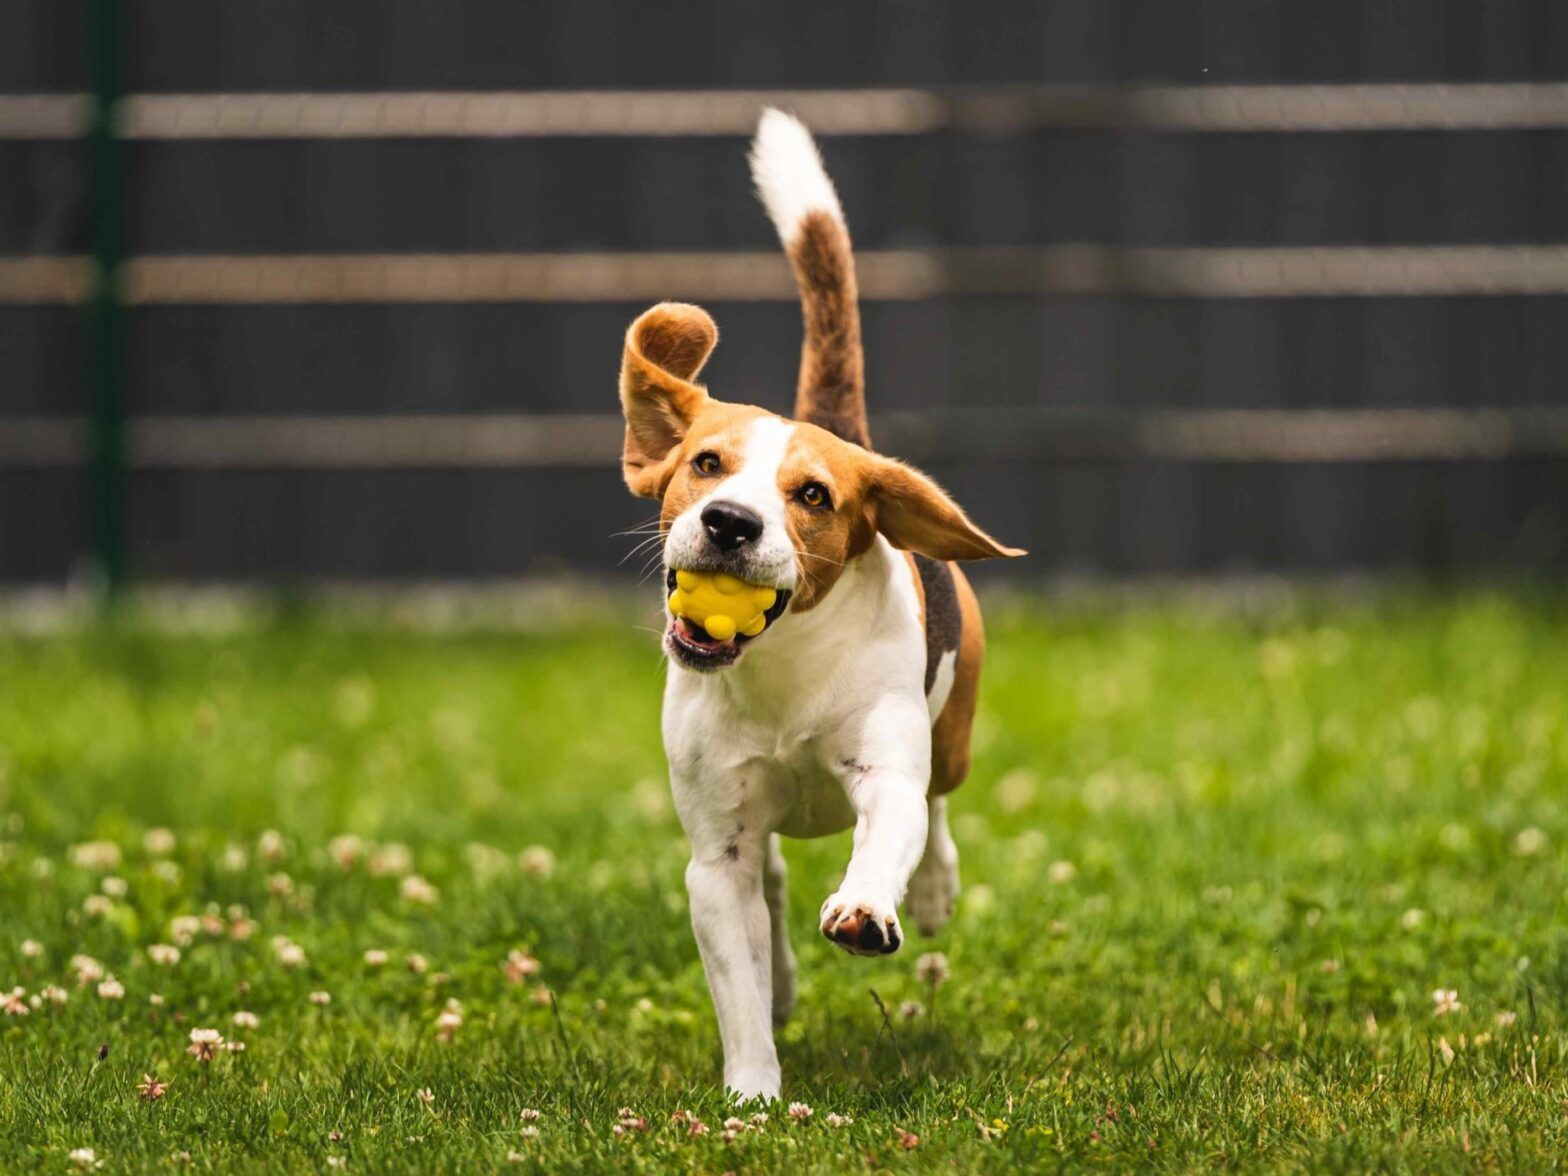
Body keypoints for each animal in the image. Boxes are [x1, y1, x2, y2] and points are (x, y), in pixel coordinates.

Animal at [617, 110, 1022, 1103]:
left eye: (812, 496)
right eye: (706, 464)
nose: (729, 524)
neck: (779, 671)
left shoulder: (885, 774)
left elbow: (889, 832)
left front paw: (872, 907)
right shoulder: (714, 855)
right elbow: (737, 976)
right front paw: (753, 1094)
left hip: (953, 730)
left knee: (940, 805)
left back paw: (932, 890)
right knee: (770, 886)